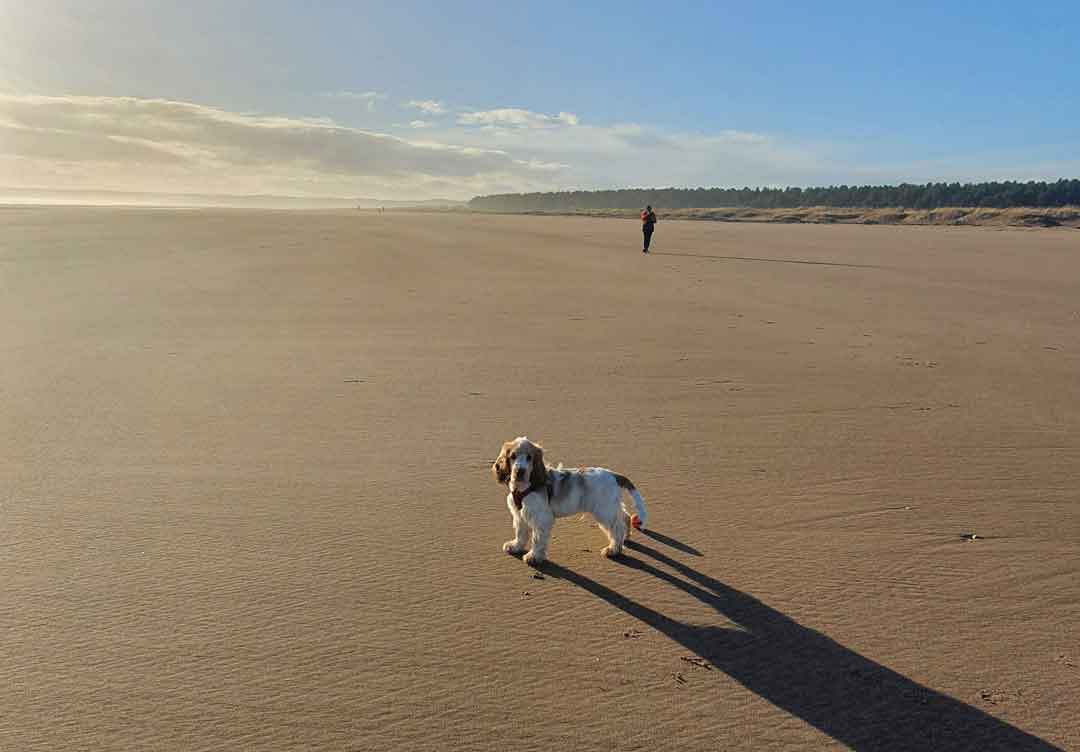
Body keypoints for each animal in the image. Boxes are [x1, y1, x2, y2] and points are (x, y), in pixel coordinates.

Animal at [492, 434, 648, 561]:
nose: (520, 471)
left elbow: (537, 539)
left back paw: (613, 550)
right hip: (611, 506)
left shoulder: (541, 518)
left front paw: (533, 556)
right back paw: (625, 537)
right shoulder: (519, 515)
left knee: (617, 528)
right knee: (625, 517)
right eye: (513, 456)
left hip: (604, 510)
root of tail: (613, 474)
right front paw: (515, 546)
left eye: (529, 458)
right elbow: (520, 533)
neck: (525, 487)